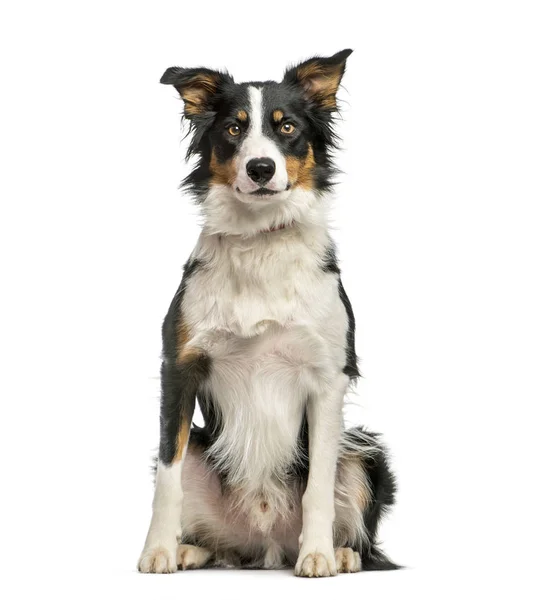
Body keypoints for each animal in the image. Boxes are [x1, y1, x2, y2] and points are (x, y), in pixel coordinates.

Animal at [137, 50, 394, 576]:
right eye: (234, 128)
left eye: (287, 127)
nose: (260, 168)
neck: (260, 241)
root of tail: (267, 544)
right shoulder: (180, 367)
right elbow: (168, 476)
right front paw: (159, 551)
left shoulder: (327, 377)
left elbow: (318, 485)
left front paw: (318, 554)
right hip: (205, 449)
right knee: (218, 537)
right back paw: (191, 550)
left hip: (366, 451)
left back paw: (341, 553)